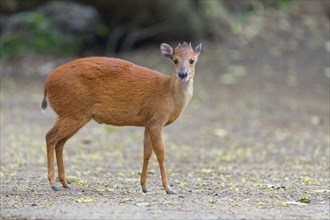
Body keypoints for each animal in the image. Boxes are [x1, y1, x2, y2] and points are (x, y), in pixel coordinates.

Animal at [42, 41, 202, 194]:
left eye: (192, 60)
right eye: (175, 60)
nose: (182, 74)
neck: (168, 93)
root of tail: (47, 83)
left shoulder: (148, 122)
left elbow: (147, 153)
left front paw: (144, 187)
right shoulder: (157, 120)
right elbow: (160, 153)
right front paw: (168, 188)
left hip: (74, 114)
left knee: (60, 143)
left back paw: (65, 183)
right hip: (73, 112)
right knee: (50, 136)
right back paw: (53, 183)